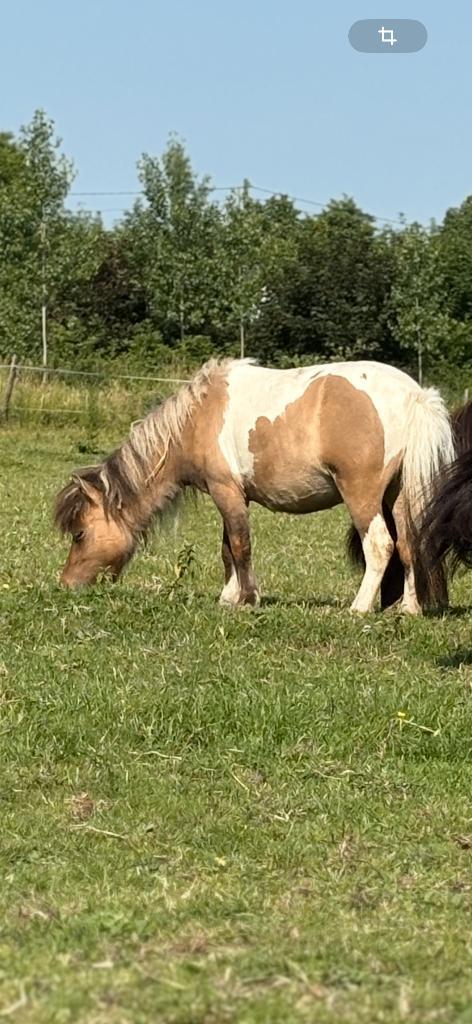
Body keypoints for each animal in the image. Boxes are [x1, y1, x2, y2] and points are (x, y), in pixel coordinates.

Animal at [54, 357, 455, 614]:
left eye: (80, 534)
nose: (66, 585)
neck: (197, 417)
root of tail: (413, 396)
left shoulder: (226, 492)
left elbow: (239, 546)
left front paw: (247, 598)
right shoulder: (231, 495)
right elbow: (227, 550)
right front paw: (229, 596)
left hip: (362, 496)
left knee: (380, 546)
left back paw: (358, 608)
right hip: (399, 496)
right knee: (408, 545)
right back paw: (409, 608)